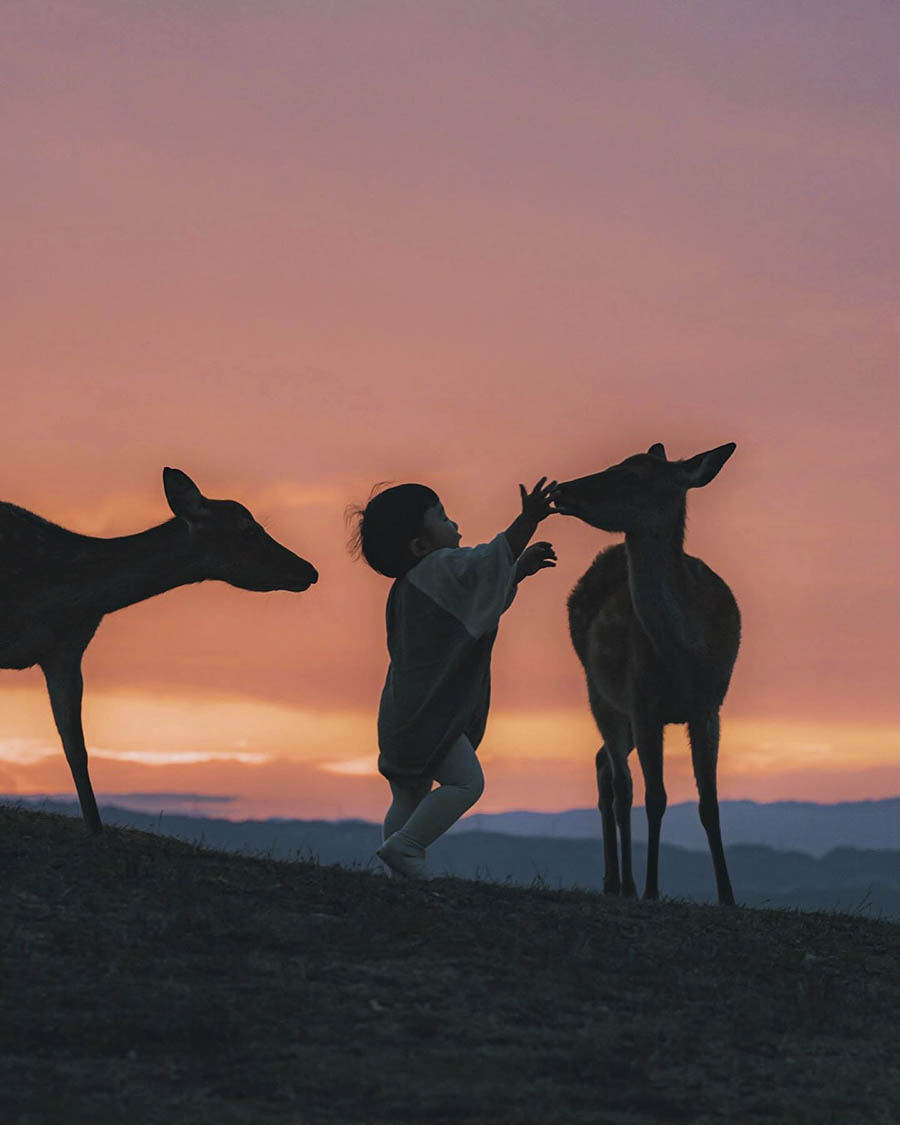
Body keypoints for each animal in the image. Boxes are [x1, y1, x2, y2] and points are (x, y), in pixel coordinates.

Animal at [551, 441, 742, 904]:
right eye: (615, 463)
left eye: (631, 475)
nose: (563, 489)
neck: (686, 657)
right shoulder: (642, 704)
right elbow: (655, 796)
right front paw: (654, 889)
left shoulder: (709, 707)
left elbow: (709, 803)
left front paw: (728, 896)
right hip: (599, 694)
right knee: (621, 785)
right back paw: (626, 884)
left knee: (603, 763)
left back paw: (614, 881)